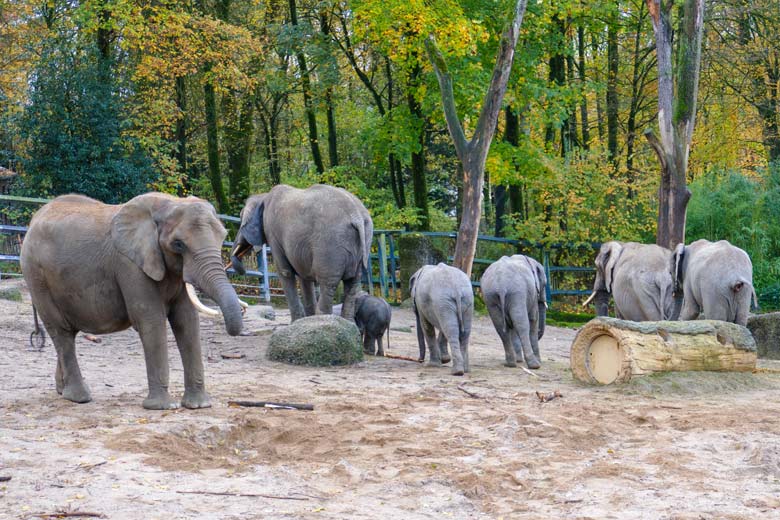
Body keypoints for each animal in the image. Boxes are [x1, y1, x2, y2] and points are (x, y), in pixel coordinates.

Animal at [20, 193, 244, 408]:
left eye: (223, 237)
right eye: (178, 244)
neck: (167, 202)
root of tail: (33, 221)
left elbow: (186, 320)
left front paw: (199, 405)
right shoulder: (129, 265)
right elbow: (151, 320)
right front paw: (163, 406)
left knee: (67, 334)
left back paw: (62, 391)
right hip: (37, 277)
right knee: (62, 332)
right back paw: (79, 397)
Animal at [230, 183, 374, 320]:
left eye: (240, 218)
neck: (263, 196)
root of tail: (356, 215)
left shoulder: (272, 233)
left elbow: (285, 272)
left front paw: (296, 323)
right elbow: (304, 277)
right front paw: (305, 320)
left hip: (330, 243)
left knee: (328, 284)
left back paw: (323, 320)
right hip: (363, 240)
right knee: (353, 284)